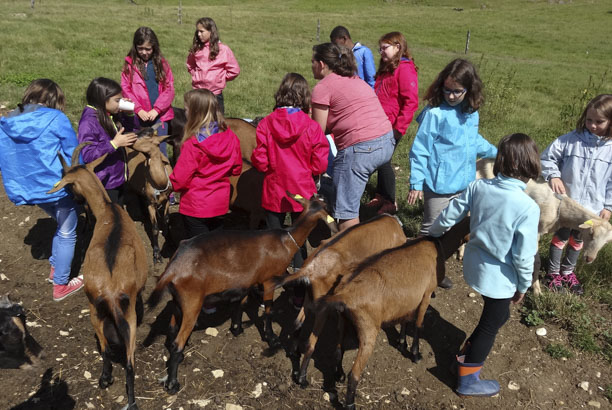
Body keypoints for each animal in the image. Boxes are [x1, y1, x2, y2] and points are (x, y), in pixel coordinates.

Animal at [47, 144, 147, 410]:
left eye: (69, 183)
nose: (77, 200)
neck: (108, 211)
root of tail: (110, 292)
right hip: (123, 315)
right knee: (127, 361)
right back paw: (128, 398)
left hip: (96, 310)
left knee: (107, 350)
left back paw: (106, 380)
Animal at [126, 126, 173, 264]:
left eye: (147, 135)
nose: (127, 134)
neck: (160, 183)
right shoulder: (151, 204)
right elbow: (155, 228)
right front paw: (157, 255)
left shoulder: (167, 199)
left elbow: (166, 220)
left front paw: (169, 242)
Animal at [146, 195, 338, 394]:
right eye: (326, 206)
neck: (286, 240)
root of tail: (172, 268)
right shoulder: (269, 280)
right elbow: (268, 310)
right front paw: (271, 338)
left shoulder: (248, 281)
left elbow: (242, 303)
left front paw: (237, 328)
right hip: (192, 301)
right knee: (177, 342)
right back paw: (172, 383)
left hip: (179, 300)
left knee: (172, 329)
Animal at [304, 218, 468, 406]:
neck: (436, 247)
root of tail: (343, 294)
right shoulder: (426, 294)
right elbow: (418, 324)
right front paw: (415, 354)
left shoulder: (409, 300)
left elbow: (405, 320)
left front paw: (401, 343)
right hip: (368, 330)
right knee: (354, 373)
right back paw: (350, 403)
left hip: (344, 322)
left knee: (338, 350)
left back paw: (339, 376)